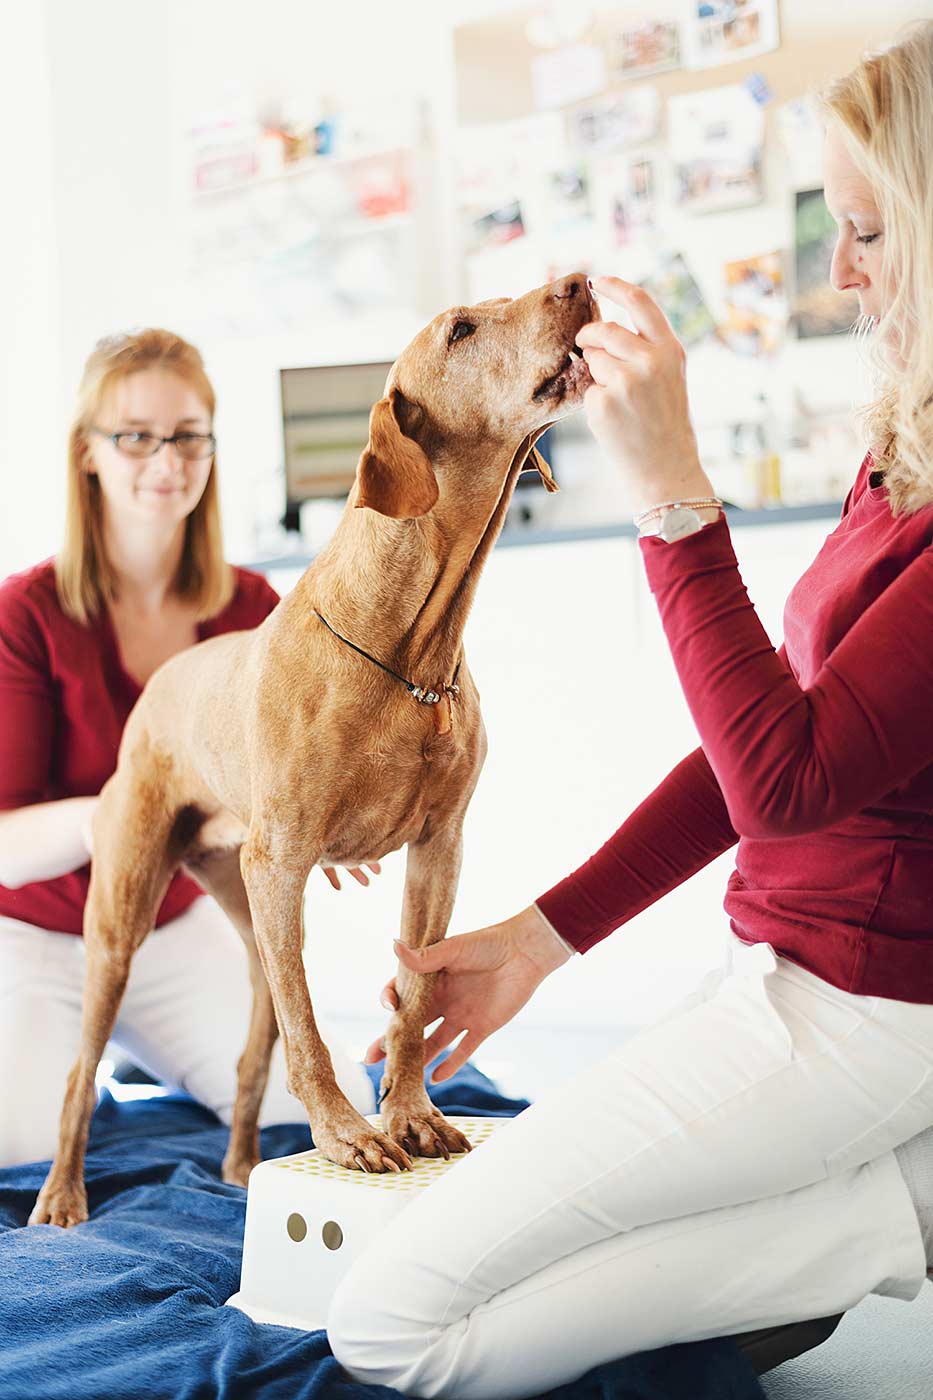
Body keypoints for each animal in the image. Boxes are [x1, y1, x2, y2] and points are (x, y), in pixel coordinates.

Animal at [30, 270, 596, 1226]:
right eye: (461, 328)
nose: (581, 282)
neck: (408, 651)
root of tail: (158, 689)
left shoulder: (438, 851)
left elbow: (413, 998)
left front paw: (411, 1113)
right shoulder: (286, 855)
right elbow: (314, 1030)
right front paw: (344, 1134)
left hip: (252, 917)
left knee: (256, 1043)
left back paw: (236, 1165)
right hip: (126, 917)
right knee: (80, 1071)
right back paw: (64, 1196)